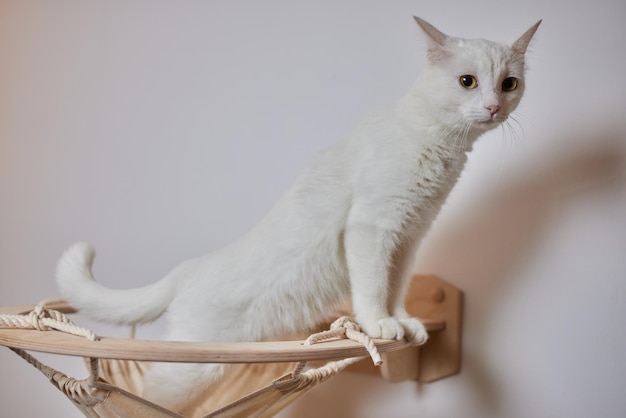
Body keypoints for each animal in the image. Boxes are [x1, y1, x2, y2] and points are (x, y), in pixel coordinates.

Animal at [56, 18, 540, 414]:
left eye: (509, 84)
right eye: (467, 81)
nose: (494, 106)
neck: (441, 146)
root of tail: (189, 268)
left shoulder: (411, 235)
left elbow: (398, 285)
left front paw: (403, 322)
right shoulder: (372, 228)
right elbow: (373, 287)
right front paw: (379, 324)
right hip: (190, 370)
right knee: (152, 396)